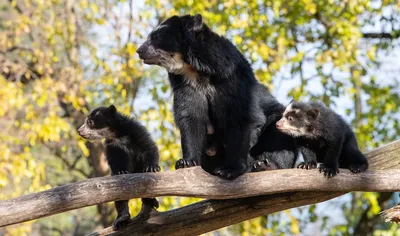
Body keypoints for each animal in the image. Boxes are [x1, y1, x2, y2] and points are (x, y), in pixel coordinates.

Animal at [137, 13, 284, 179]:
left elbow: (241, 118)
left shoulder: (232, 79)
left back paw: (266, 165)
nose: (139, 50)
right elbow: (191, 119)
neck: (196, 71)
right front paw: (186, 162)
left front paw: (231, 169)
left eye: (157, 38)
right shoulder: (186, 86)